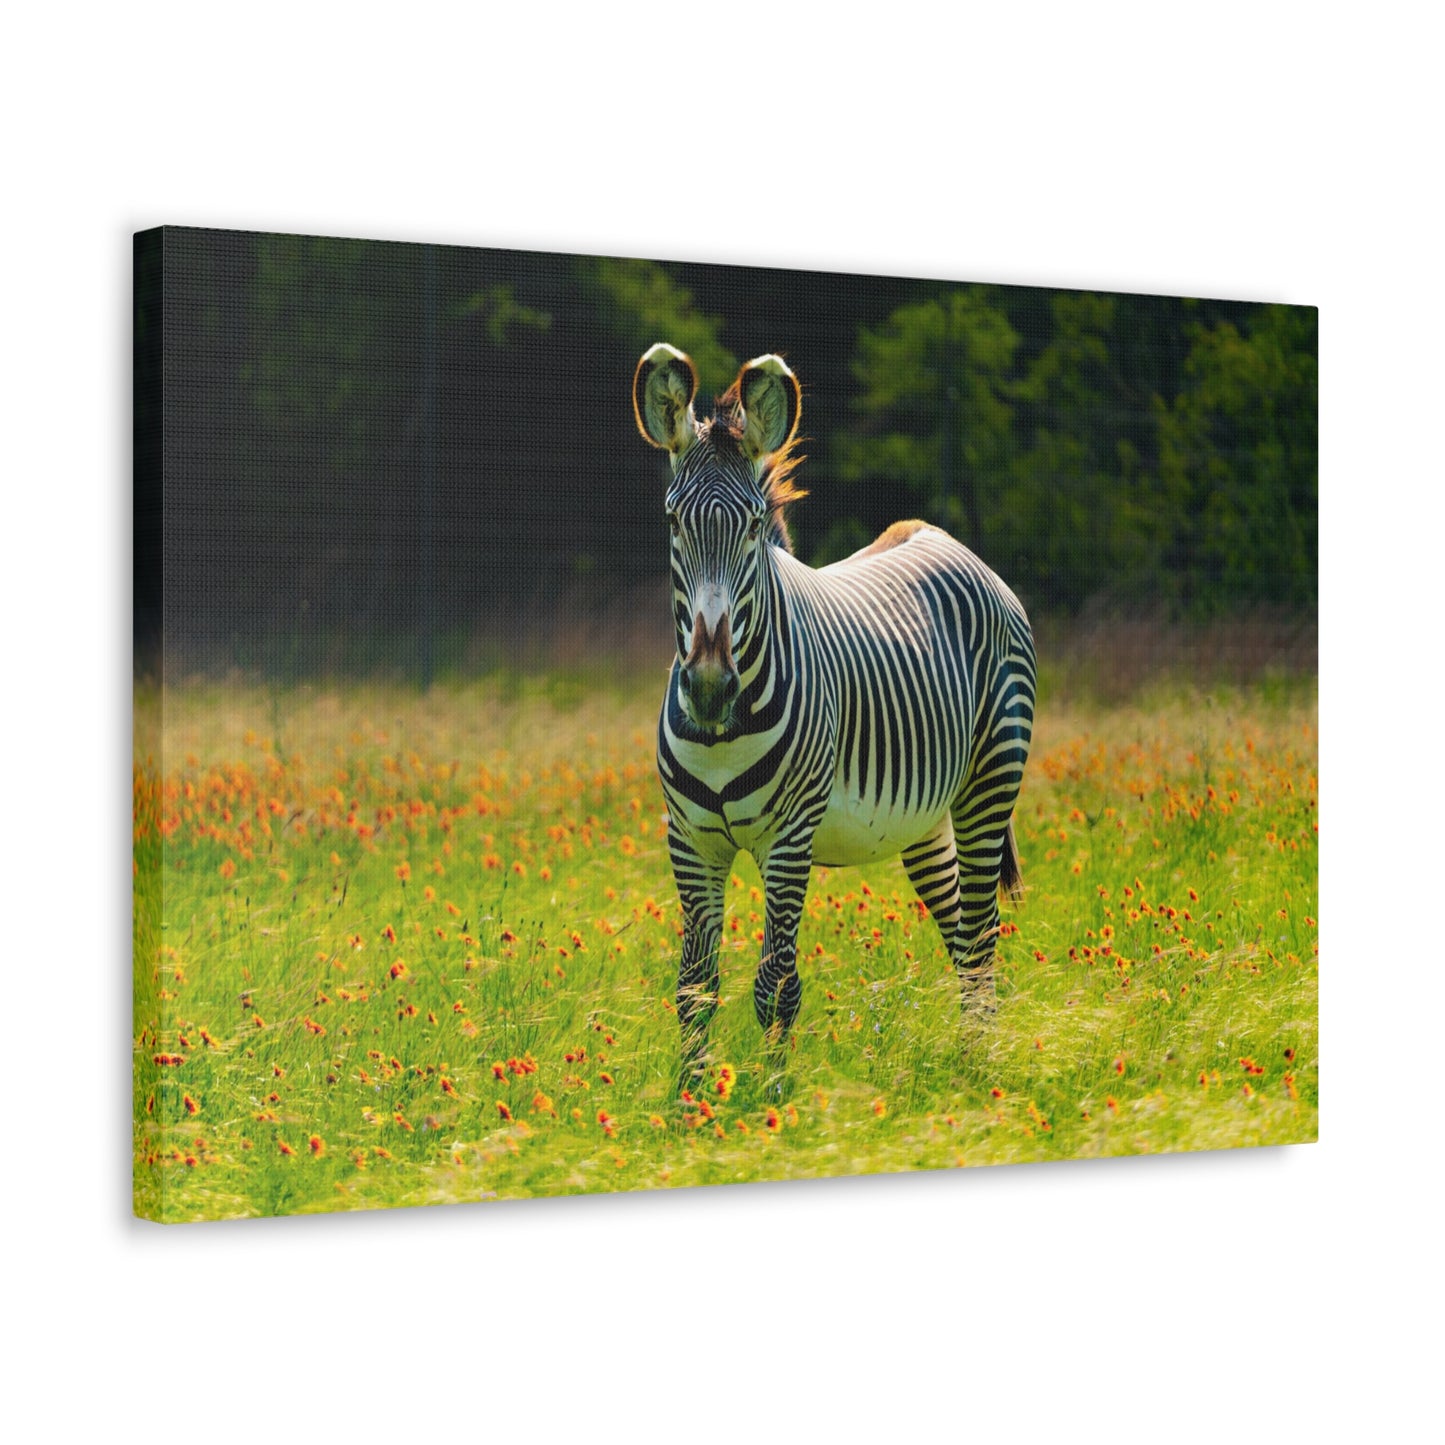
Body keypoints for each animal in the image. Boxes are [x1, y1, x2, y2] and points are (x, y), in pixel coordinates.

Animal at [633, 342, 1036, 1081]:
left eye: (753, 525)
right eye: (672, 521)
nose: (708, 686)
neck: (723, 734)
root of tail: (938, 535)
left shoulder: (789, 838)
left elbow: (776, 983)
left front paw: (773, 1094)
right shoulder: (690, 840)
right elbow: (694, 988)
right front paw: (690, 1099)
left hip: (989, 781)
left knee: (982, 933)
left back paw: (979, 1068)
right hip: (923, 818)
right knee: (960, 929)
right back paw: (969, 1058)